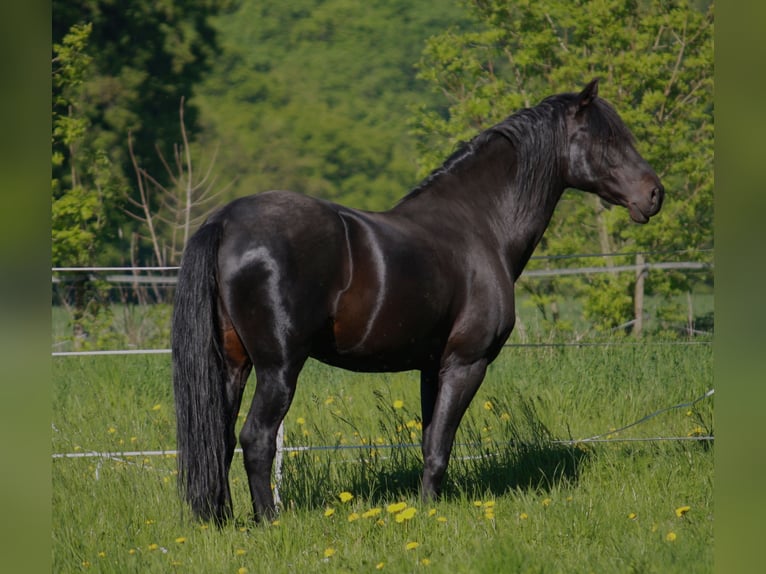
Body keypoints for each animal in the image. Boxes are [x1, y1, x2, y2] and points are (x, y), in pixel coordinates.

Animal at [172, 79, 664, 524]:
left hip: (234, 365)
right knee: (256, 439)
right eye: (607, 139)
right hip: (279, 369)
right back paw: (269, 521)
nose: (655, 193)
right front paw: (428, 514)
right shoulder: (466, 363)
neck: (479, 225)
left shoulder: (432, 366)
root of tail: (226, 222)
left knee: (218, 439)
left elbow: (428, 440)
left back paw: (221, 520)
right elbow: (440, 447)